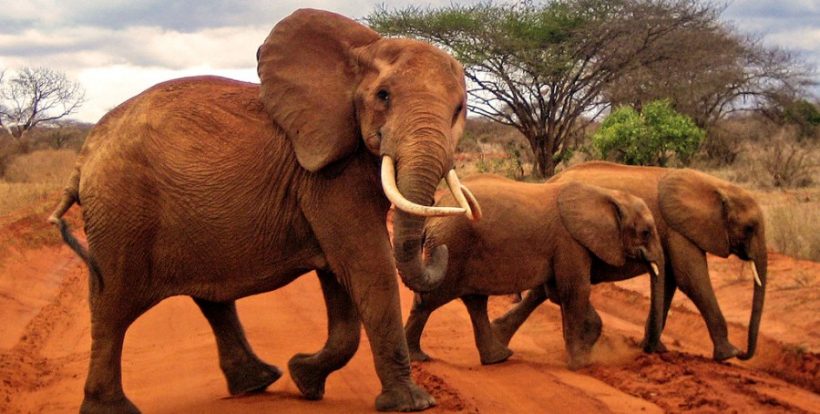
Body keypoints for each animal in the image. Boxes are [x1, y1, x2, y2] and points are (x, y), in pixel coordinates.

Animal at [46, 9, 480, 414]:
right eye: (384, 96)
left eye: (459, 109)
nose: (438, 248)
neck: (362, 51)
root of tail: (84, 157)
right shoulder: (328, 175)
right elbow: (367, 266)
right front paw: (413, 403)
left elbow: (340, 278)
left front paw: (304, 379)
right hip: (121, 210)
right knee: (111, 308)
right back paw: (113, 408)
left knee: (208, 297)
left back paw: (259, 381)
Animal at [406, 175, 668, 368]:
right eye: (645, 232)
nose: (647, 353)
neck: (608, 194)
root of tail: (434, 211)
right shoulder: (569, 242)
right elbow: (574, 291)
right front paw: (581, 365)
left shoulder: (566, 246)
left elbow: (557, 292)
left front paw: (584, 351)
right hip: (451, 247)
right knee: (431, 300)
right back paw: (418, 357)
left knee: (475, 302)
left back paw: (498, 358)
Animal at [494, 162, 768, 362]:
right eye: (750, 228)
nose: (745, 354)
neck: (717, 186)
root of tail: (549, 181)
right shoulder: (678, 228)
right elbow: (691, 280)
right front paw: (728, 355)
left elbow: (669, 280)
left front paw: (656, 348)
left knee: (546, 288)